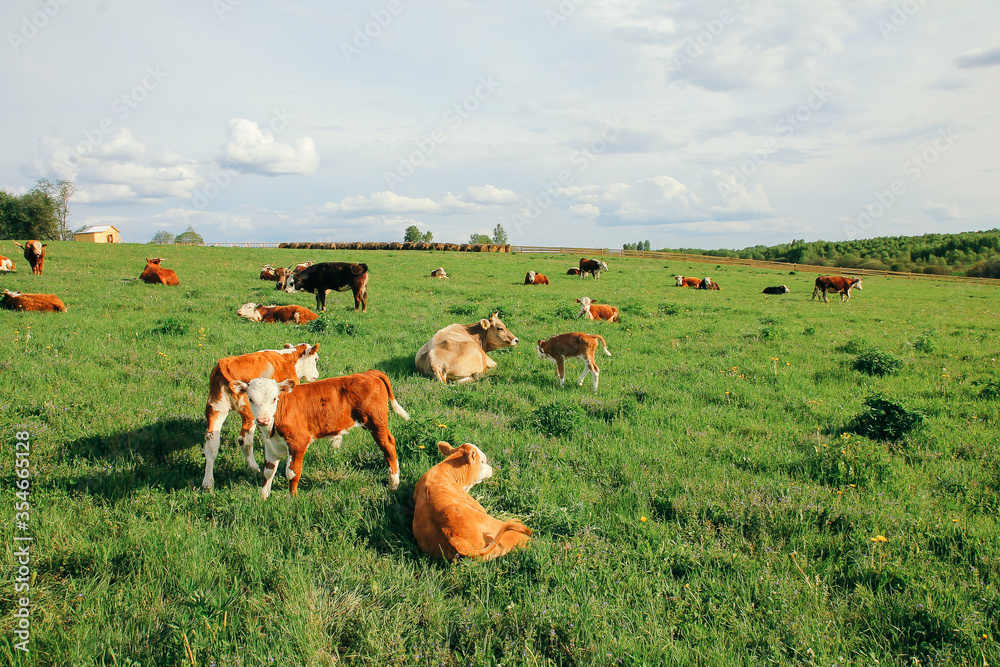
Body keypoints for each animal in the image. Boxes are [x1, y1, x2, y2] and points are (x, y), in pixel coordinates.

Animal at [201, 343, 321, 490]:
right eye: (316, 359)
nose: (316, 375)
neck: (288, 359)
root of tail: (224, 363)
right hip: (250, 413)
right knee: (244, 439)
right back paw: (254, 468)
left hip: (216, 408)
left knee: (211, 440)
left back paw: (208, 482)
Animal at [230, 369, 410, 496]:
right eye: (251, 399)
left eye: (274, 398)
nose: (262, 420)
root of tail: (368, 373)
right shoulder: (270, 444)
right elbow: (268, 471)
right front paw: (263, 497)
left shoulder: (298, 442)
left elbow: (292, 472)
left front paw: (292, 499)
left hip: (376, 423)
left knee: (388, 446)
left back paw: (393, 483)